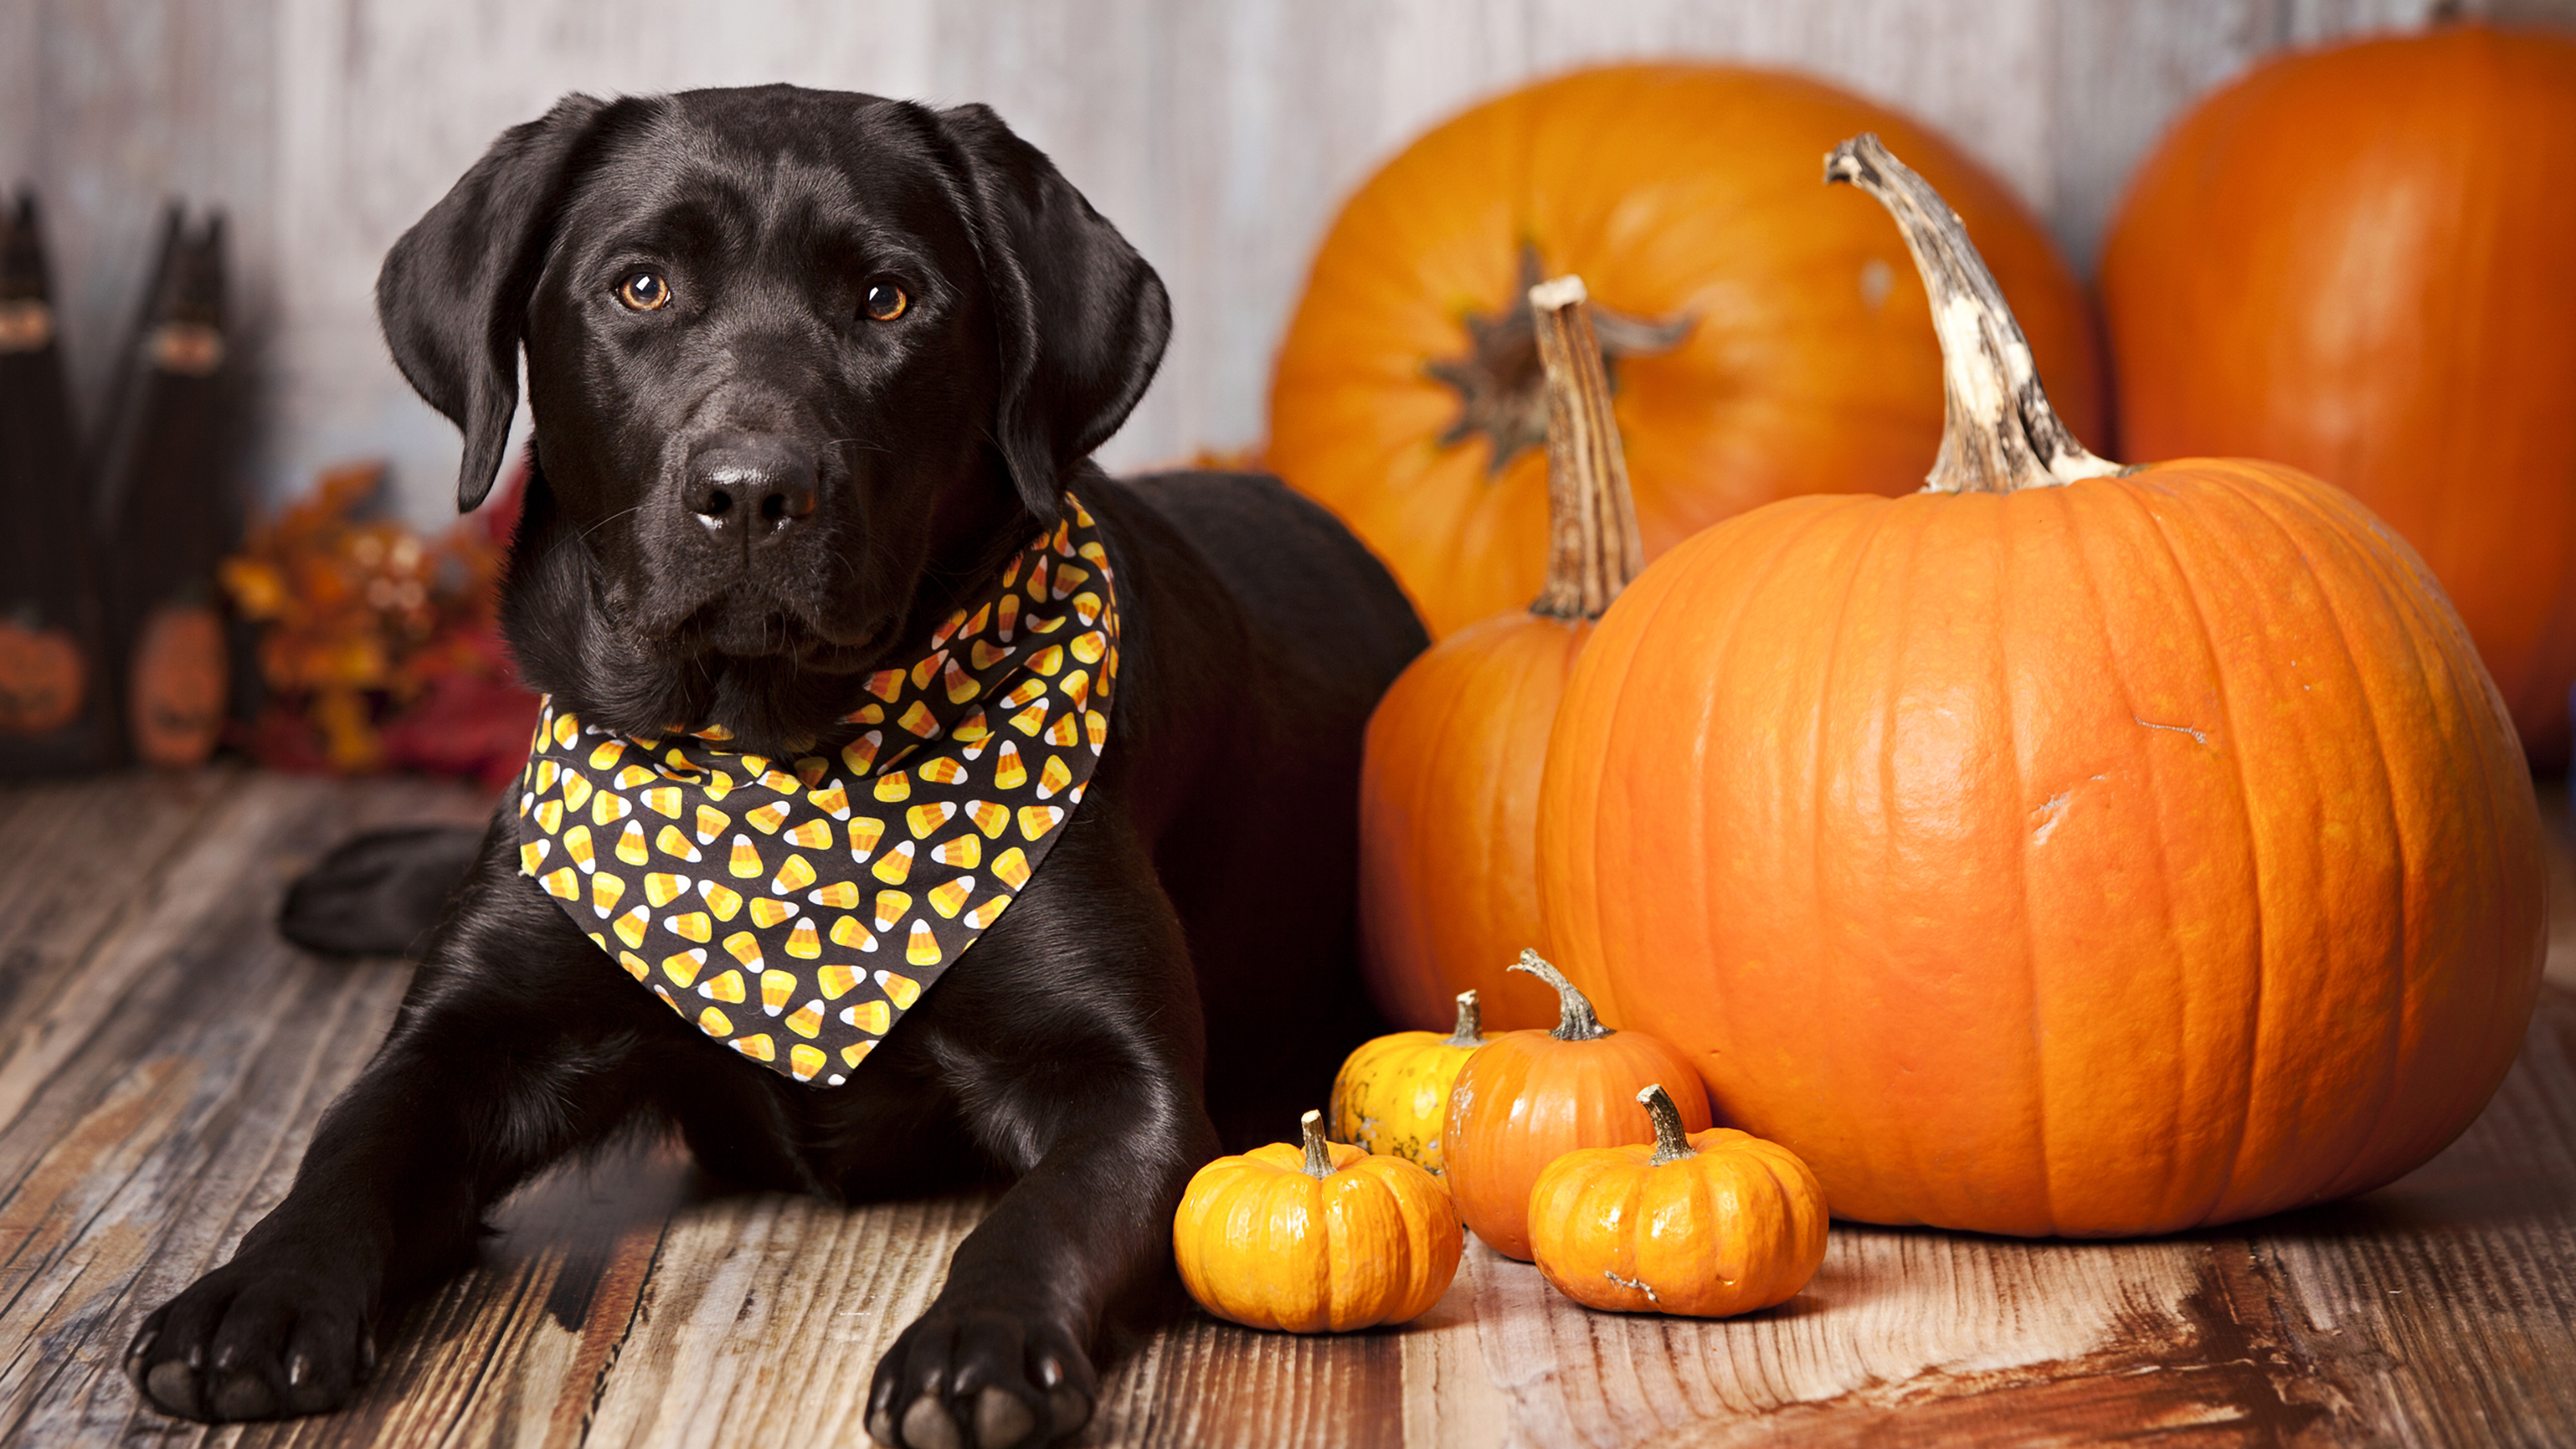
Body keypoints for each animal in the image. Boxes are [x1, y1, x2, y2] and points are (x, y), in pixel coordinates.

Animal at [126, 90, 1432, 1443]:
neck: (769, 764)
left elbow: (1041, 1216)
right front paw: (256, 1293)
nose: (754, 492)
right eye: (641, 286)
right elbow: (350, 1143)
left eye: (889, 300)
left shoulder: (1136, 1089)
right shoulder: (467, 1035)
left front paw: (978, 1344)